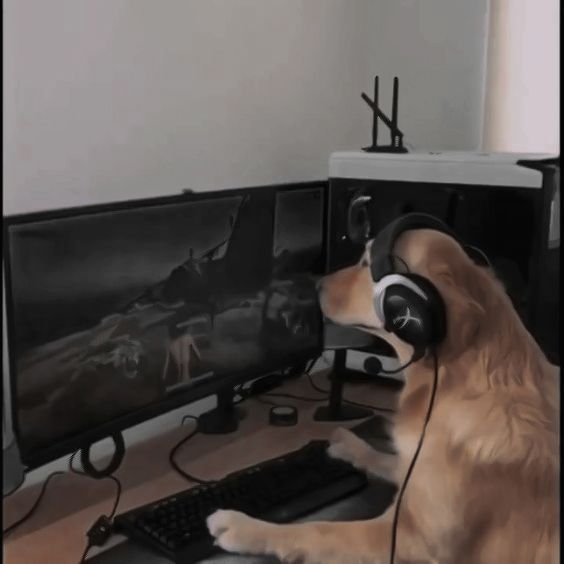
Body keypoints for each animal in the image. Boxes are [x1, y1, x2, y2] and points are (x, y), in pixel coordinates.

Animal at [205, 227, 556, 560]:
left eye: (365, 263)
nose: (316, 285)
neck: (449, 386)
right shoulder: (412, 474)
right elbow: (390, 460)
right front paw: (351, 445)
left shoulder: (409, 537)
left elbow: (317, 530)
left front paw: (243, 526)